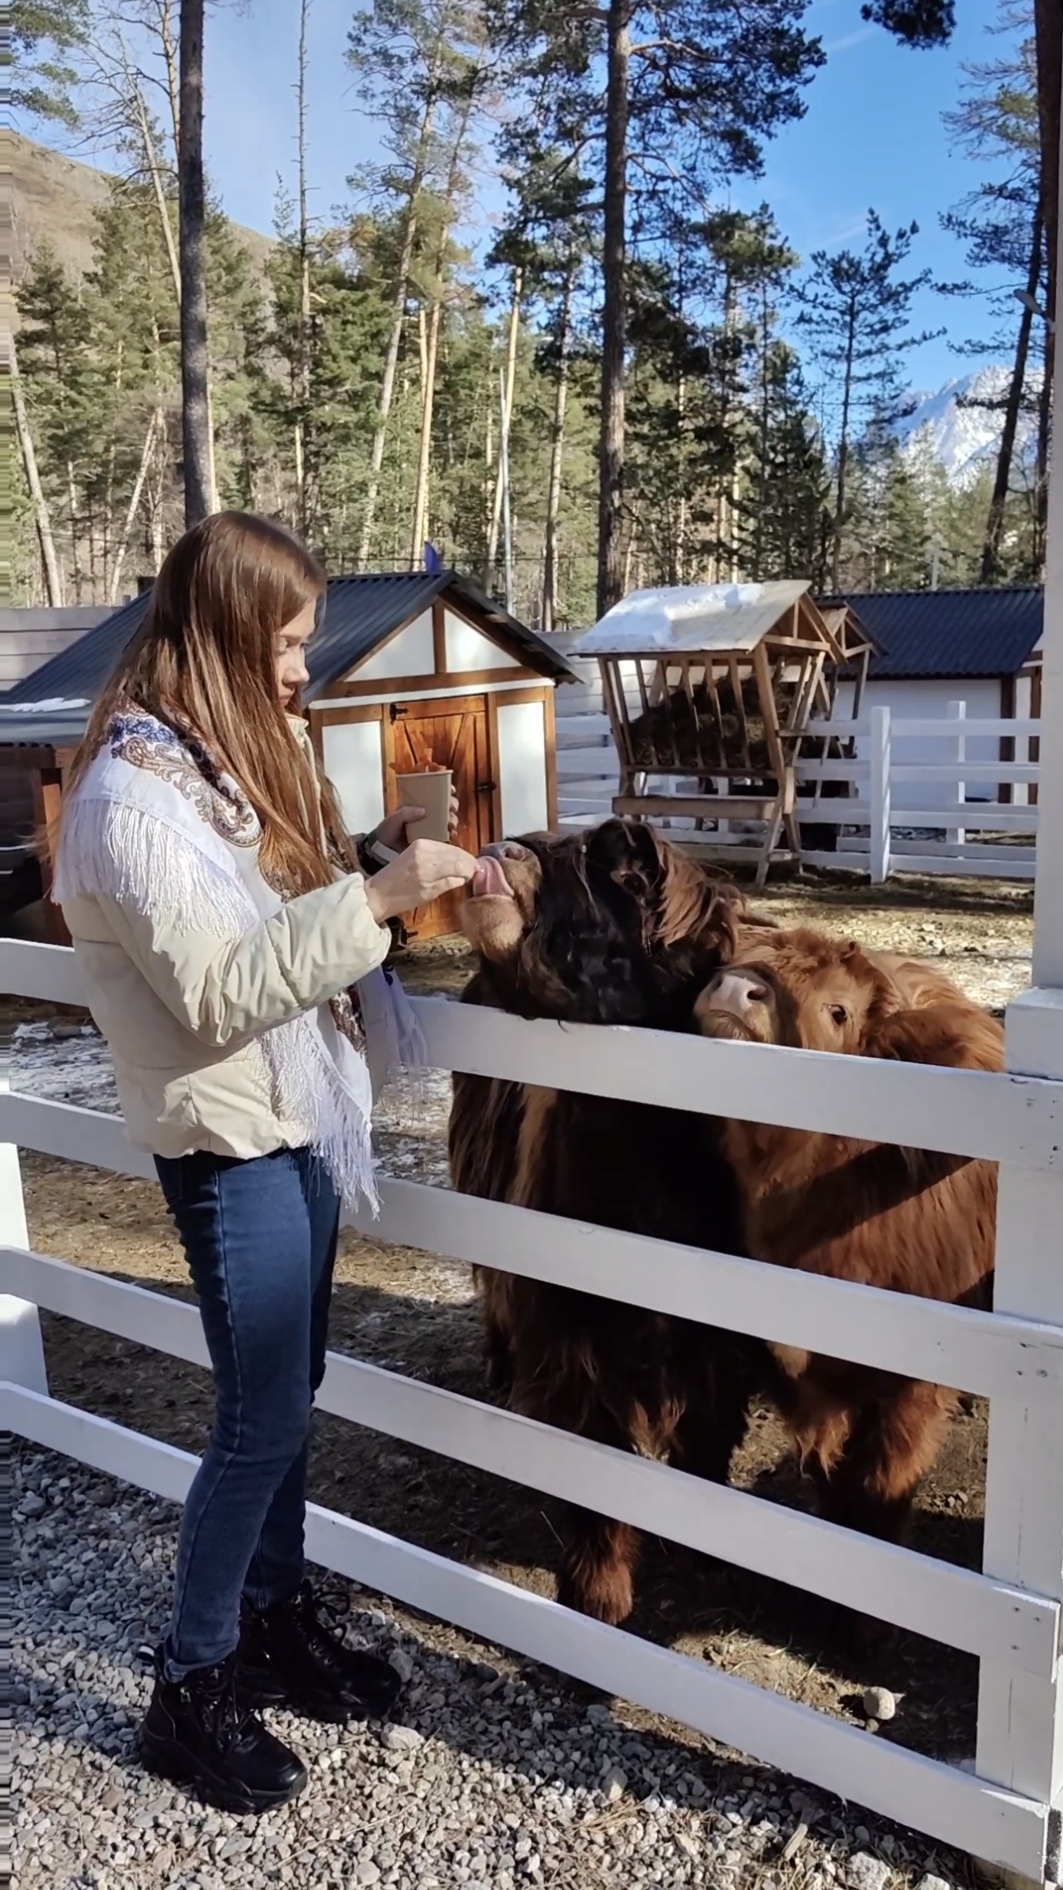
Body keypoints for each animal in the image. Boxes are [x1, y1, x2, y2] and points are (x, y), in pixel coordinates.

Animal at [444, 816, 760, 1625]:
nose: (500, 849)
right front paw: (598, 1597)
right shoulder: (569, 1330)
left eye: (617, 871)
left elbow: (706, 1436)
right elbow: (594, 1461)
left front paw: (710, 1552)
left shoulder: (717, 1337)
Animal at [692, 926, 998, 1549]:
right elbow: (829, 1476)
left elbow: (882, 1483)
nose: (735, 988)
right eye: (737, 961)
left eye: (838, 1011)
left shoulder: (911, 1388)